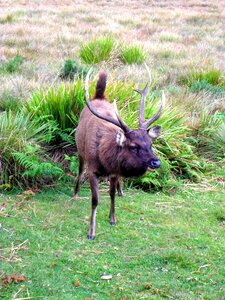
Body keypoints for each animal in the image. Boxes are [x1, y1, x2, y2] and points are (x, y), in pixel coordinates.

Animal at [74, 67, 164, 240]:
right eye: (133, 146)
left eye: (150, 144)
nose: (156, 162)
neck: (104, 158)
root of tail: (99, 96)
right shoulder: (92, 169)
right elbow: (95, 200)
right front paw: (91, 232)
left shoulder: (115, 171)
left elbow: (111, 194)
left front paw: (113, 219)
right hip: (79, 149)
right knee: (80, 170)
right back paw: (75, 193)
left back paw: (121, 191)